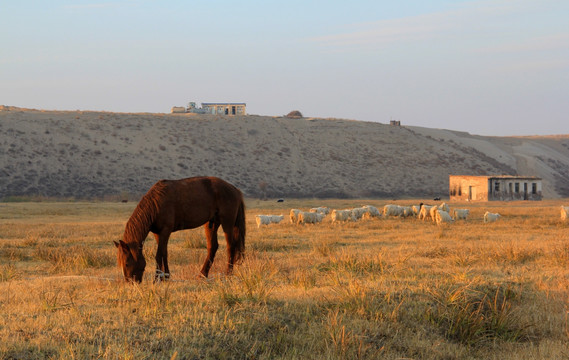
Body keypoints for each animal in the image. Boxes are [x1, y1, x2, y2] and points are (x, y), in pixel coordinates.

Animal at [114, 176, 245, 282]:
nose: (130, 282)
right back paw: (203, 274)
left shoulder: (165, 231)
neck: (156, 204)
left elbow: (158, 255)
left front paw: (157, 278)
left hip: (227, 223)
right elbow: (164, 253)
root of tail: (235, 189)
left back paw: (228, 273)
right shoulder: (158, 233)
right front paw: (165, 276)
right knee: (212, 247)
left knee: (230, 246)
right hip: (211, 223)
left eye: (126, 263)